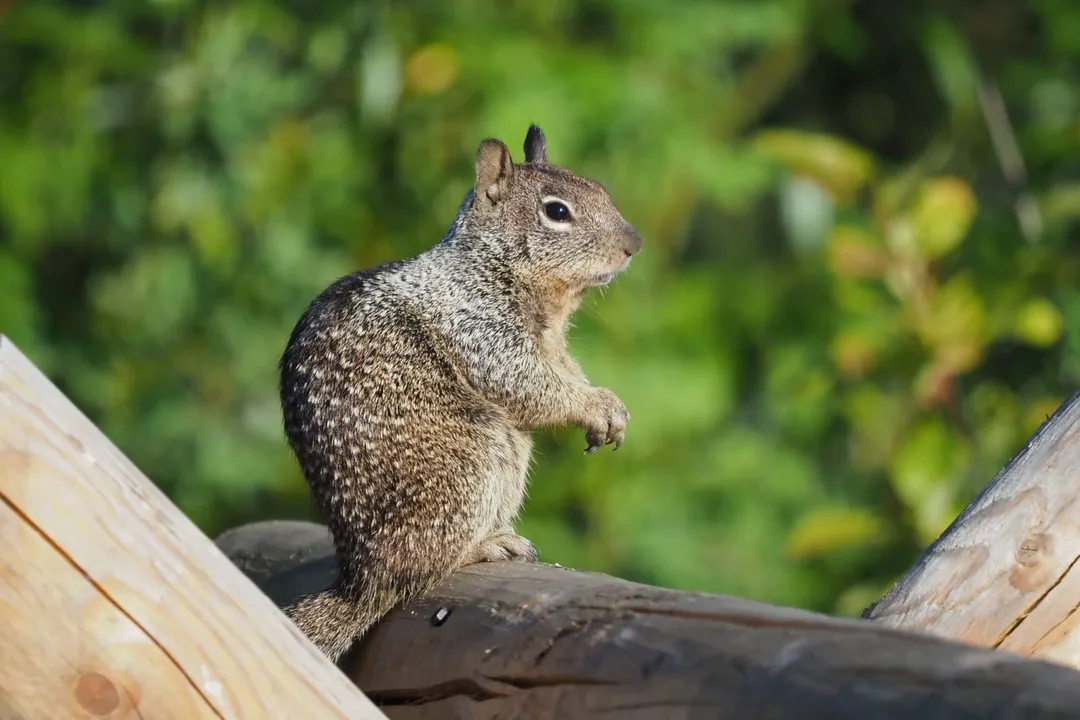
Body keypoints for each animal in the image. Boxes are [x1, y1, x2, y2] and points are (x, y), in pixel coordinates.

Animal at [278, 124, 642, 662]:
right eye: (557, 211)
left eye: (600, 187)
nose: (634, 243)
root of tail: (358, 579)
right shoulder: (482, 329)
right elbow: (529, 382)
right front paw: (593, 406)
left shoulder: (555, 348)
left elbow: (566, 373)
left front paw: (610, 406)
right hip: (471, 461)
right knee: (418, 570)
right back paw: (485, 547)